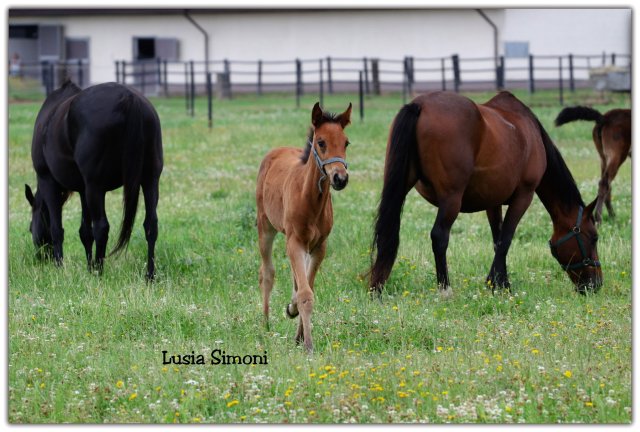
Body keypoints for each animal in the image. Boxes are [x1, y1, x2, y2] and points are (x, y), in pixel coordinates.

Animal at [25, 79, 164, 278]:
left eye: (30, 228)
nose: (42, 257)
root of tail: (129, 99)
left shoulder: (49, 181)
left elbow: (57, 229)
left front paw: (61, 268)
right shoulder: (83, 190)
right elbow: (85, 232)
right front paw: (88, 267)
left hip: (95, 187)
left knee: (102, 227)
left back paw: (99, 271)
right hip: (150, 180)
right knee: (151, 225)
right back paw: (149, 275)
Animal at [372, 91, 604, 296]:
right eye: (594, 238)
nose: (596, 284)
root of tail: (419, 104)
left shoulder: (493, 202)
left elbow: (497, 239)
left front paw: (500, 282)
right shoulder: (524, 196)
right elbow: (506, 240)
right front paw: (498, 284)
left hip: (399, 188)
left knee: (387, 231)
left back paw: (377, 287)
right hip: (451, 199)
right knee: (439, 236)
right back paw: (445, 289)